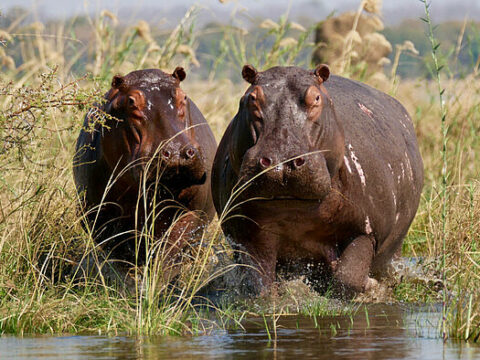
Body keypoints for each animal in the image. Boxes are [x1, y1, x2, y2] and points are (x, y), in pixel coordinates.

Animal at [74, 67, 217, 264]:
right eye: (131, 101)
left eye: (184, 97)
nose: (176, 151)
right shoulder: (100, 217)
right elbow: (121, 254)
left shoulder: (191, 211)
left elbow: (170, 250)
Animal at [212, 64, 422, 298]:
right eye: (252, 98)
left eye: (316, 97)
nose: (282, 160)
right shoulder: (247, 232)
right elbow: (258, 284)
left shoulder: (366, 231)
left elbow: (348, 277)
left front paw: (371, 287)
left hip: (396, 244)